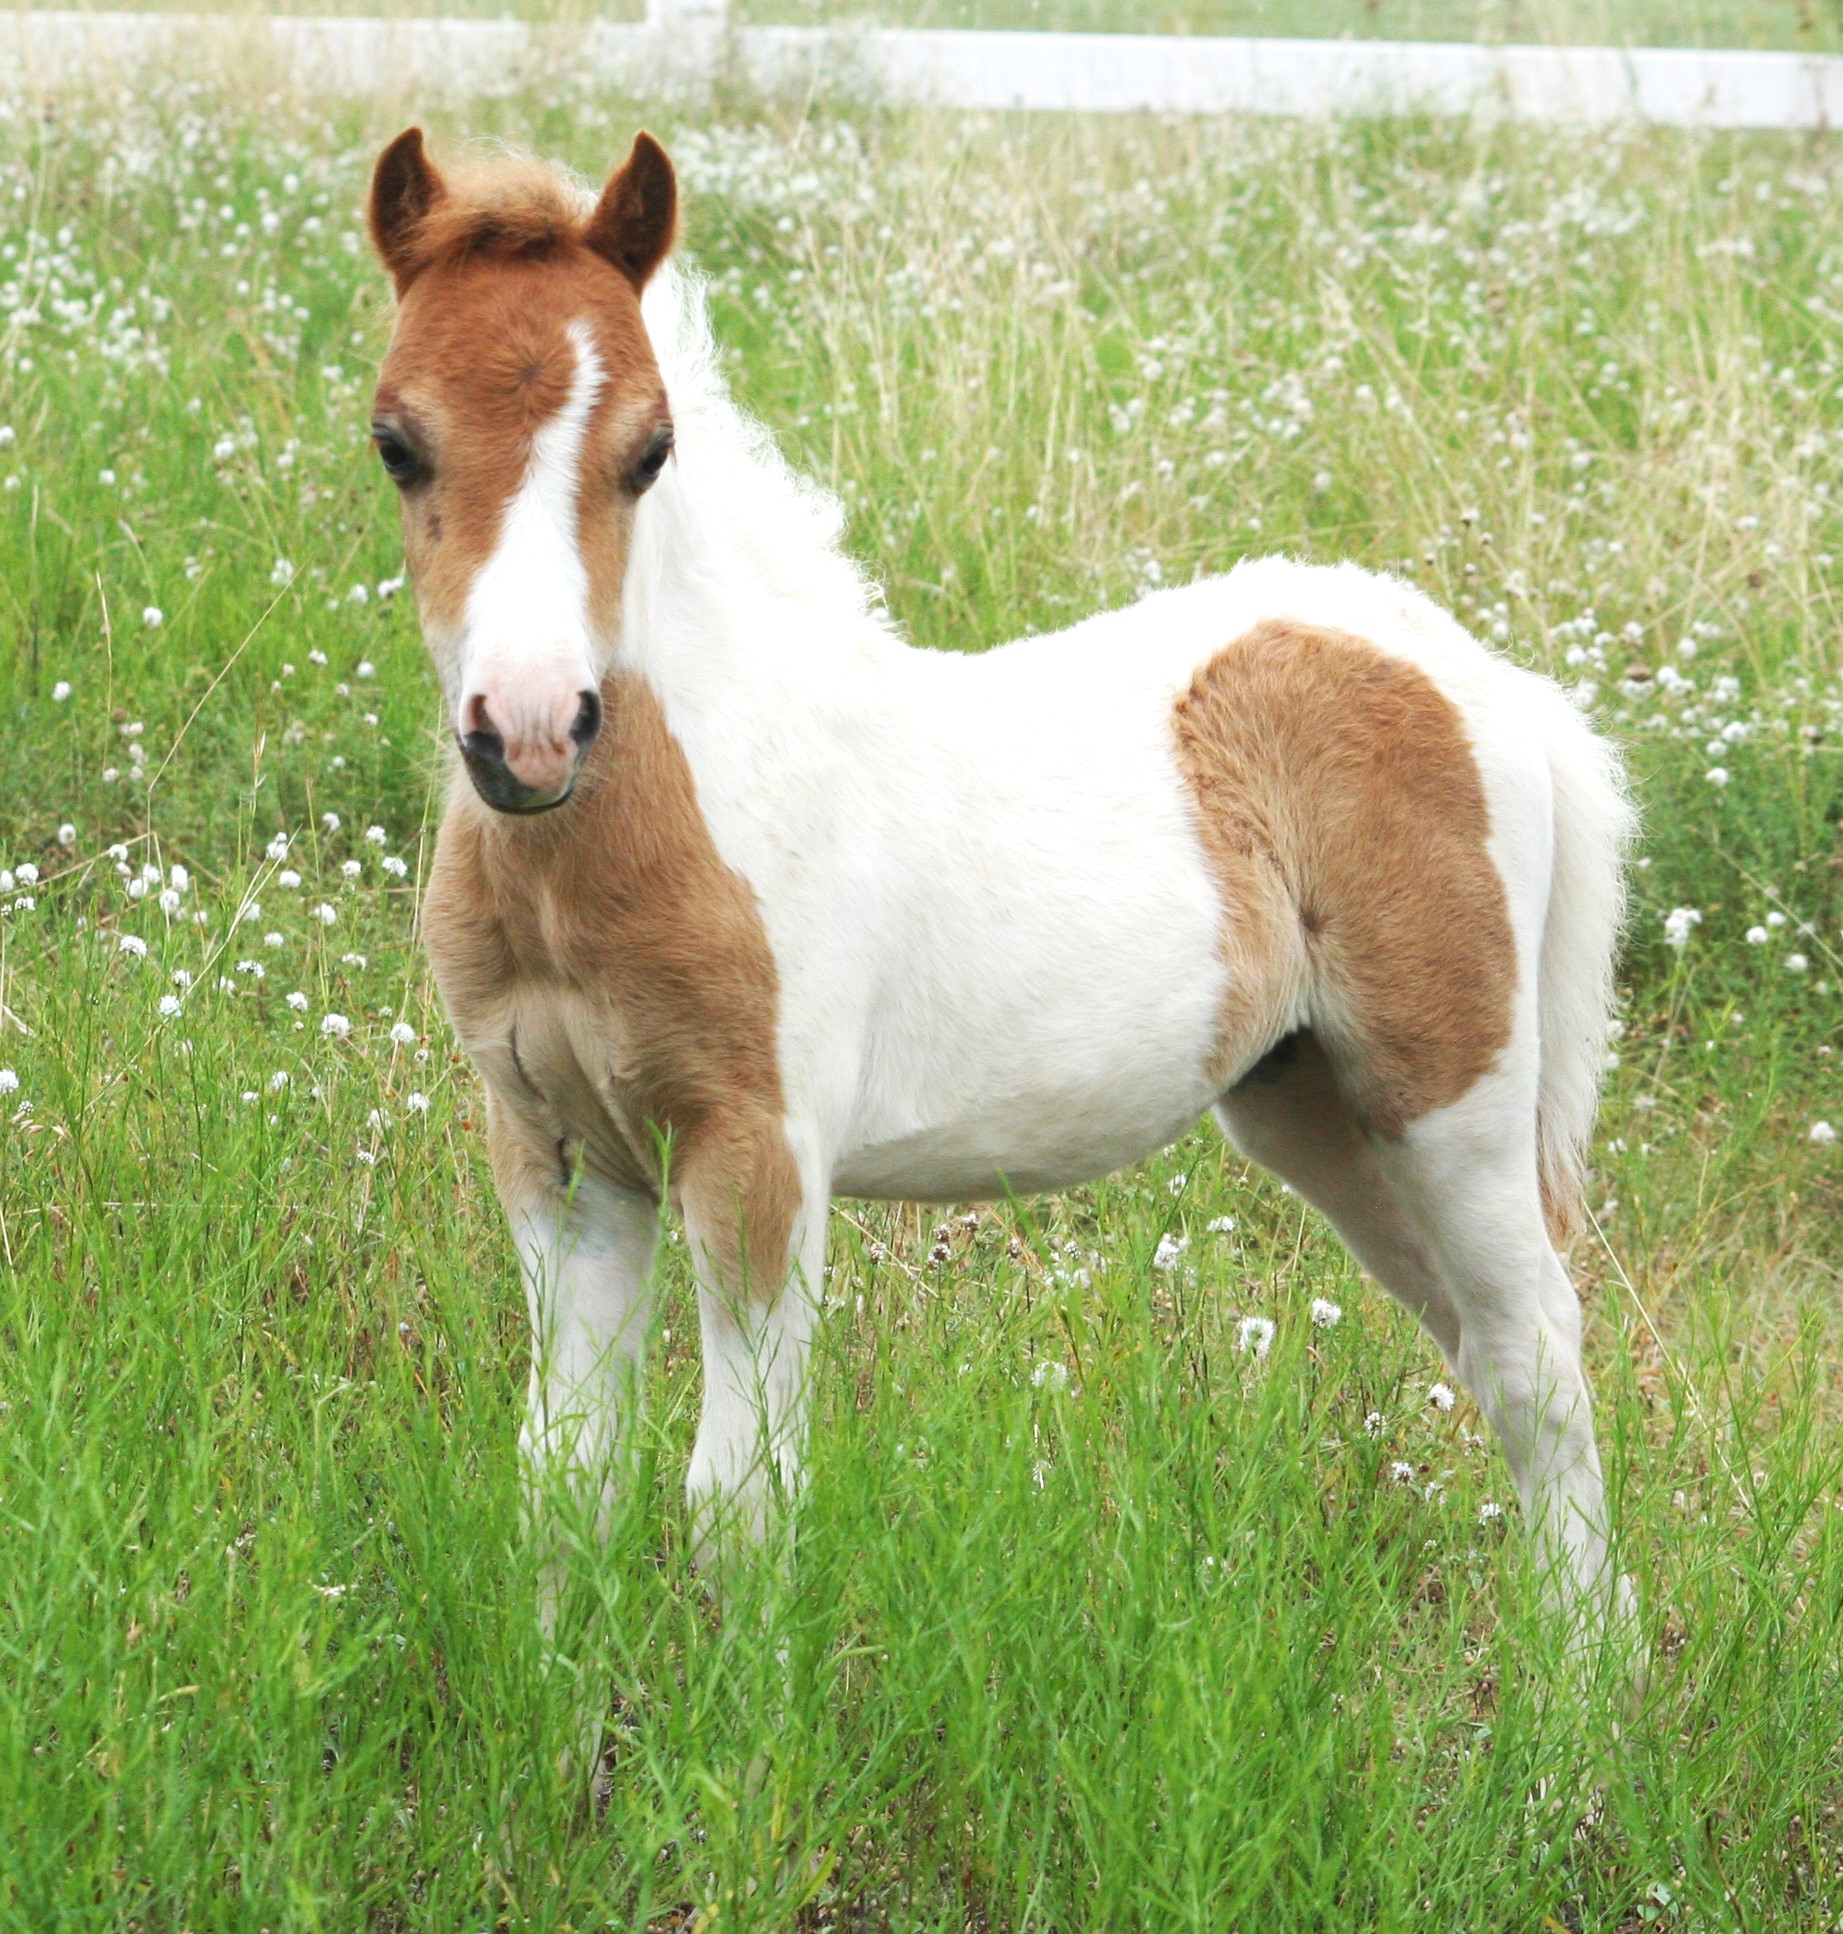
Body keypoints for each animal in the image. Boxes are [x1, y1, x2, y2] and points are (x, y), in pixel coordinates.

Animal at [365, 127, 1636, 1644]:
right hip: (1317, 1111)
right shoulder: (555, 1153)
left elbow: (738, 1501)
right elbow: (563, 1481)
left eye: (648, 451)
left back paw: (1578, 1686)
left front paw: (742, 1714)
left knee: (1539, 1355)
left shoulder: (757, 1152)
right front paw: (560, 1694)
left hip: (1449, 1098)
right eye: (395, 441)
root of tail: (1479, 671)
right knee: (1481, 1348)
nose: (531, 729)